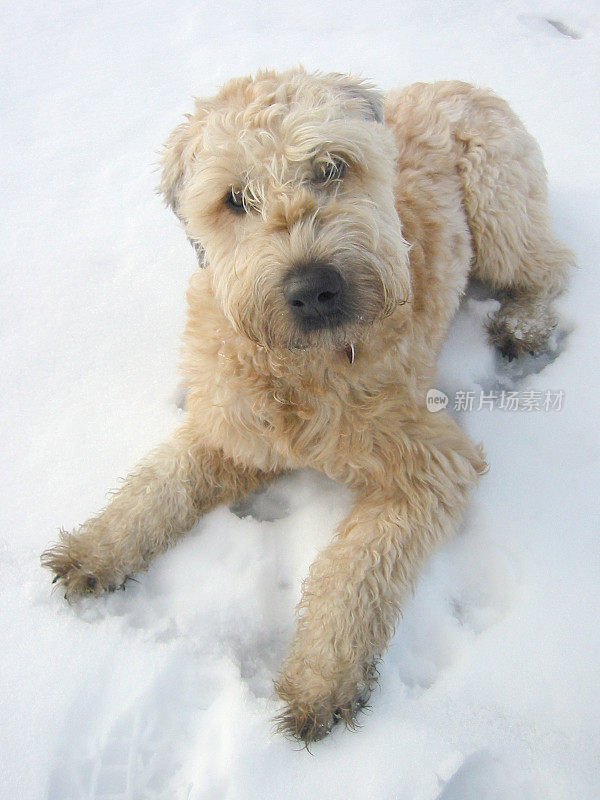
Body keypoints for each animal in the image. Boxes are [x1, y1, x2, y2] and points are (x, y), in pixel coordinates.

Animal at [43, 69, 572, 744]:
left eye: (331, 166)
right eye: (234, 198)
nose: (314, 288)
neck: (302, 373)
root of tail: (463, 82)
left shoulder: (428, 461)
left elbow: (353, 569)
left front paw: (321, 679)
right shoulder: (231, 428)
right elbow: (159, 484)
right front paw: (93, 549)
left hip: (500, 207)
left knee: (547, 266)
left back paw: (523, 325)